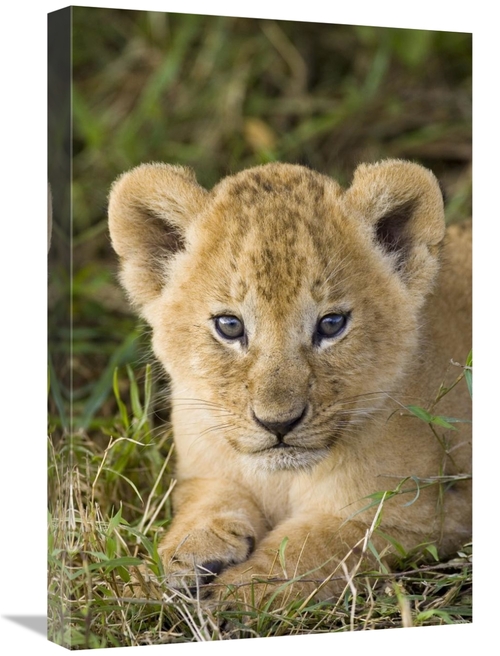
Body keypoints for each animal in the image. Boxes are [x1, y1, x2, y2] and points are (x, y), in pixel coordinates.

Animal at [108, 159, 471, 606]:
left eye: (331, 324)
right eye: (229, 326)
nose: (278, 424)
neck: (280, 479)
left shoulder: (420, 514)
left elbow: (311, 548)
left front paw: (234, 595)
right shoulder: (205, 471)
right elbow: (206, 504)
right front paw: (174, 560)